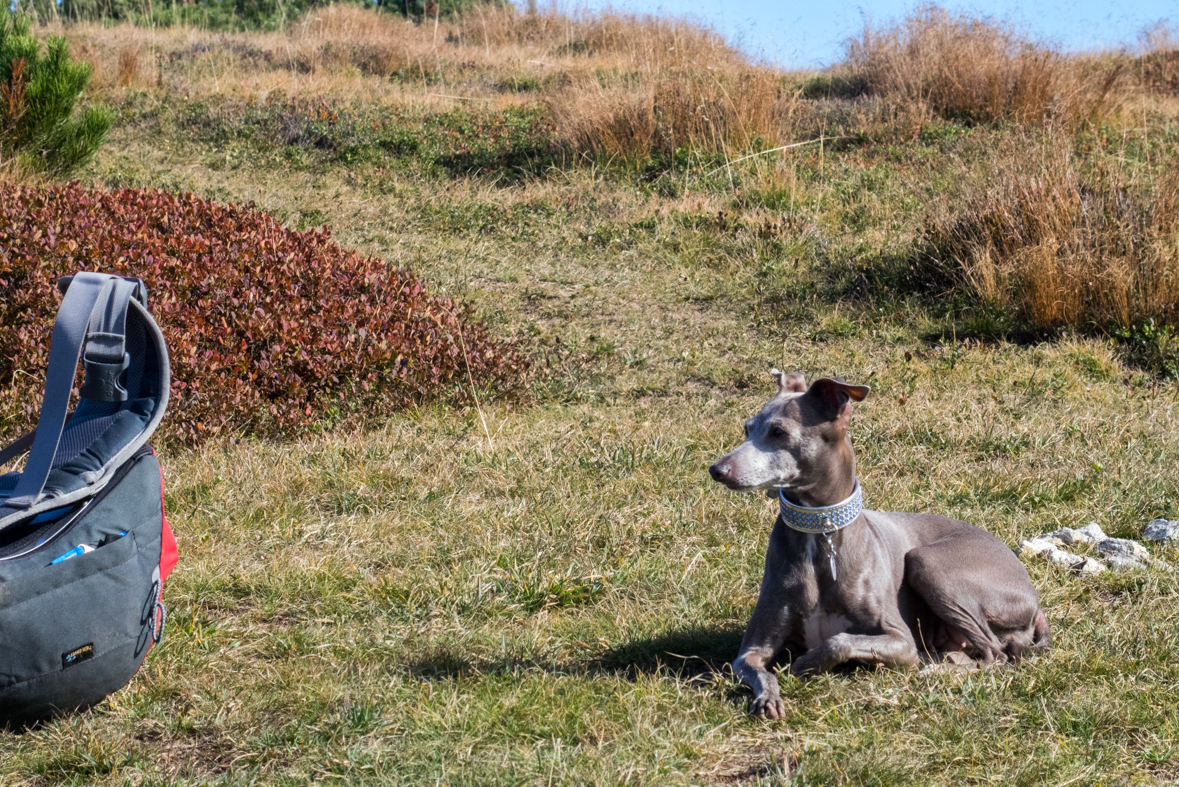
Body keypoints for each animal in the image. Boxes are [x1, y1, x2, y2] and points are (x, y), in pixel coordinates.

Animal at [707, 372, 1051, 716]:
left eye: (778, 431)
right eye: (747, 429)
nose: (716, 470)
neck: (822, 534)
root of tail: (1034, 600)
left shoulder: (900, 639)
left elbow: (840, 641)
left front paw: (806, 663)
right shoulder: (751, 649)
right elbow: (760, 670)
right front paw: (769, 697)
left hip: (929, 564)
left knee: (996, 654)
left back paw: (936, 669)